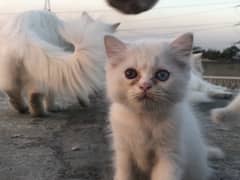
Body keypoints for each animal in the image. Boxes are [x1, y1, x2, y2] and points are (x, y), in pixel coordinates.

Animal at [104, 33, 220, 180]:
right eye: (130, 73)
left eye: (162, 75)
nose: (145, 85)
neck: (144, 118)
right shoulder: (123, 152)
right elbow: (124, 174)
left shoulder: (170, 154)